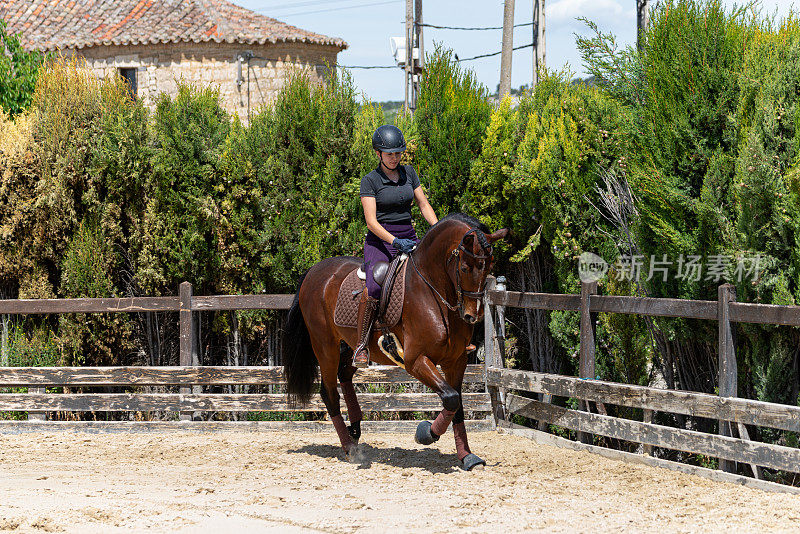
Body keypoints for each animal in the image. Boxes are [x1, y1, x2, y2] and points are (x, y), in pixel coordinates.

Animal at [282, 215, 506, 474]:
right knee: (329, 393)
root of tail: (314, 270)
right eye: (464, 268)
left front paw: (467, 456)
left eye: (488, 266)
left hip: (351, 345)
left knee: (345, 375)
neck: (433, 291)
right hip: (325, 346)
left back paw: (355, 428)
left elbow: (457, 403)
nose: (472, 316)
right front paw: (425, 433)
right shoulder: (415, 360)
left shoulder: (456, 361)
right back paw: (350, 449)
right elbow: (450, 398)